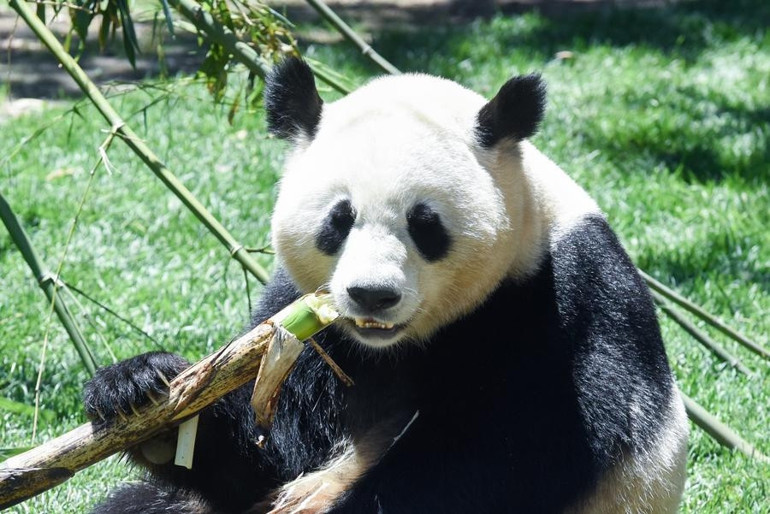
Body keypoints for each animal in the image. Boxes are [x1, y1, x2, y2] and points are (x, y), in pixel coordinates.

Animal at [84, 58, 688, 514]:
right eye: (339, 219)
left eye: (425, 225)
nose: (372, 294)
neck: (395, 346)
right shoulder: (307, 327)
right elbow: (266, 449)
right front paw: (141, 388)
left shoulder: (556, 306)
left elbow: (495, 459)